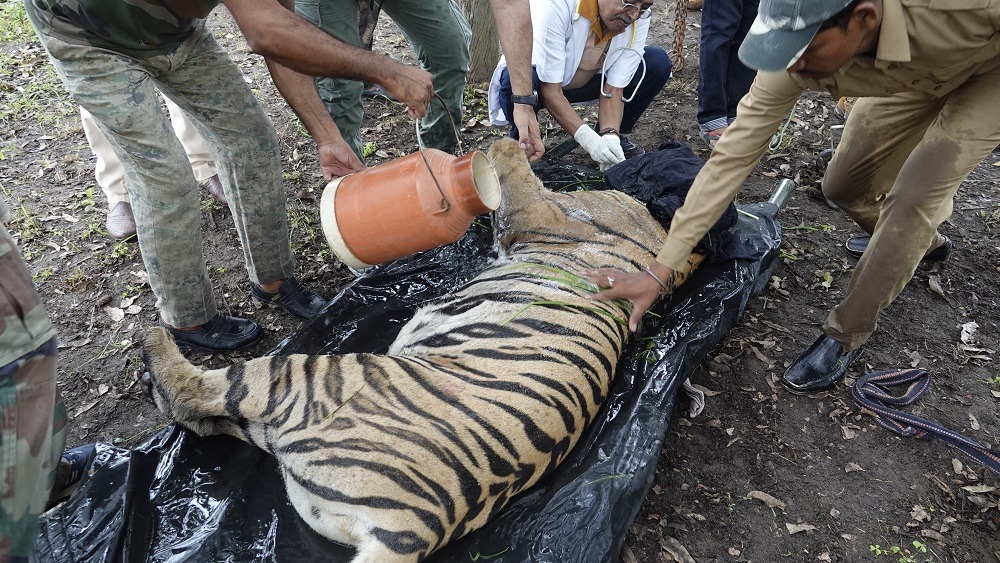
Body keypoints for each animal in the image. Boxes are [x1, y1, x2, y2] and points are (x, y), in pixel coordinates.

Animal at [141, 138, 708, 563]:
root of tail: (416, 530)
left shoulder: (539, 210)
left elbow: (514, 169)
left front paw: (502, 141)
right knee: (203, 416)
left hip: (309, 377)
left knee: (193, 392)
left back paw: (153, 337)